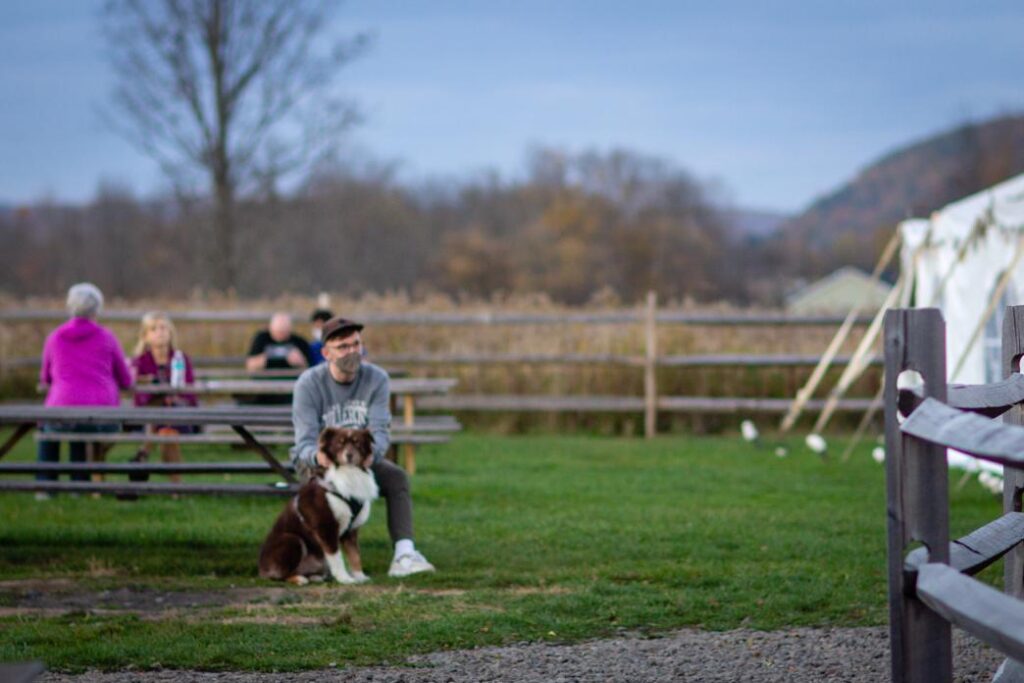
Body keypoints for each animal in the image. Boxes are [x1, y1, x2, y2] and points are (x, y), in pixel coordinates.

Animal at [260, 428, 380, 581]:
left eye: (357, 442)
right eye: (339, 443)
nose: (349, 455)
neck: (348, 472)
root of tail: (261, 569)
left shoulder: (351, 530)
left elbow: (355, 555)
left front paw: (360, 577)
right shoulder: (326, 527)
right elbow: (337, 557)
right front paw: (345, 579)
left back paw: (314, 577)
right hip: (292, 539)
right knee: (281, 574)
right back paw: (299, 579)